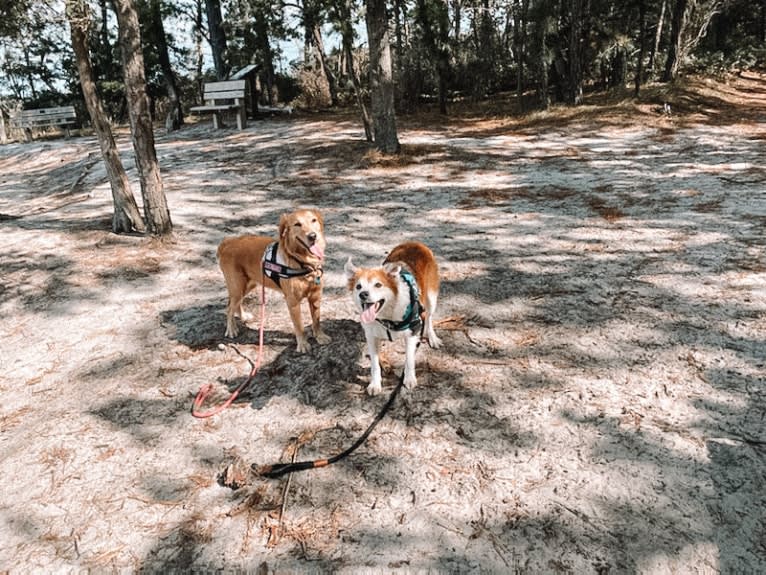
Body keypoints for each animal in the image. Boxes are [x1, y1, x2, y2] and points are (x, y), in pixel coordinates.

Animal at [219, 209, 332, 354]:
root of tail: (227, 242)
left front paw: (320, 336)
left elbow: (316, 321)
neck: (303, 262)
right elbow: (299, 326)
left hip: (247, 285)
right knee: (229, 308)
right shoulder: (292, 302)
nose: (313, 236)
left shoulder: (316, 297)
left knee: (235, 304)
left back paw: (243, 316)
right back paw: (231, 329)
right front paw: (302, 344)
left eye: (313, 220)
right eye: (297, 224)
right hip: (237, 287)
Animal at [344, 240, 440, 396]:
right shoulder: (371, 337)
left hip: (431, 297)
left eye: (378, 284)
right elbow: (374, 364)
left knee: (429, 317)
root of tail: (414, 242)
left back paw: (432, 338)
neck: (387, 316)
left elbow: (409, 358)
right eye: (358, 286)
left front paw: (409, 378)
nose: (363, 294)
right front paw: (375, 384)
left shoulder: (412, 332)